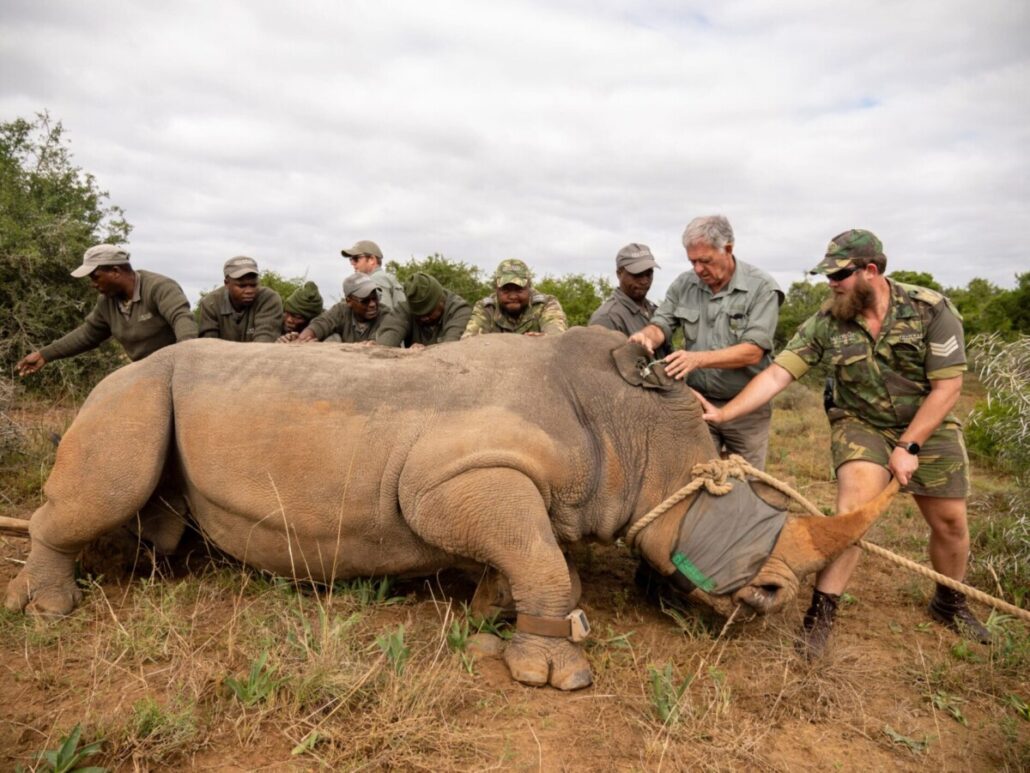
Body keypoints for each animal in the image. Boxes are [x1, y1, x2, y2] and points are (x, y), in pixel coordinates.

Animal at [6, 327, 896, 690]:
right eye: (721, 496)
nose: (772, 598)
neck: (634, 431)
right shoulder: (449, 476)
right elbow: (544, 561)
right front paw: (556, 674)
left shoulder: (518, 489)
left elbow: (533, 557)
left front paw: (490, 622)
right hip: (130, 386)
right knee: (109, 479)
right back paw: (47, 608)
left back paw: (162, 564)